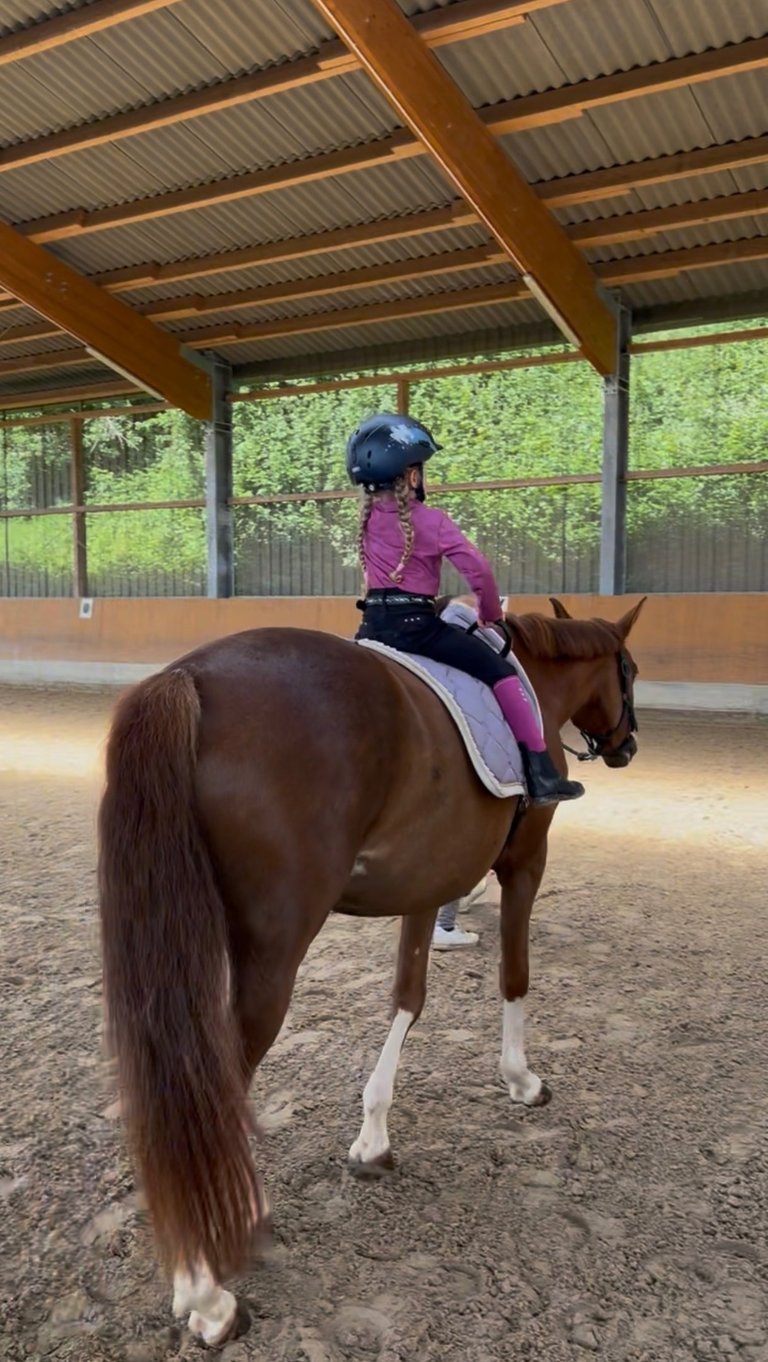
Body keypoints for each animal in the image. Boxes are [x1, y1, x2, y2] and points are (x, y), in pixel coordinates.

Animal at [98, 594, 645, 1345]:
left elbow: (407, 995)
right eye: (631, 672)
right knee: (213, 1083)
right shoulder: (525, 862)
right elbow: (515, 975)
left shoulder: (426, 880)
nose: (628, 746)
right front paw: (521, 1080)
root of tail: (188, 680)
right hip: (272, 949)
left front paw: (373, 1136)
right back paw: (207, 1291)